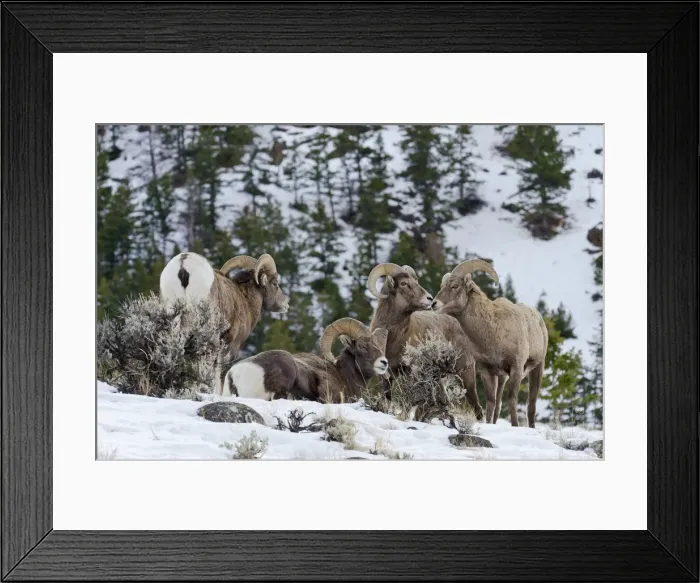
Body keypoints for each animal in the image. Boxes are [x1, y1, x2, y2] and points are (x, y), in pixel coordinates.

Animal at [366, 263, 485, 421]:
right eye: (404, 283)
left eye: (416, 281)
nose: (430, 299)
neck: (392, 338)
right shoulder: (386, 376)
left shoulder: (410, 373)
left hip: (466, 375)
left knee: (476, 406)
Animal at [434, 259, 548, 428]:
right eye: (442, 286)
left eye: (455, 286)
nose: (434, 304)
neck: (493, 332)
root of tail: (539, 318)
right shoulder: (487, 371)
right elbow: (491, 402)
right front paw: (488, 424)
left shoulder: (516, 368)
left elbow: (512, 399)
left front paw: (515, 425)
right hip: (502, 377)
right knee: (499, 403)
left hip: (537, 368)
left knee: (531, 404)